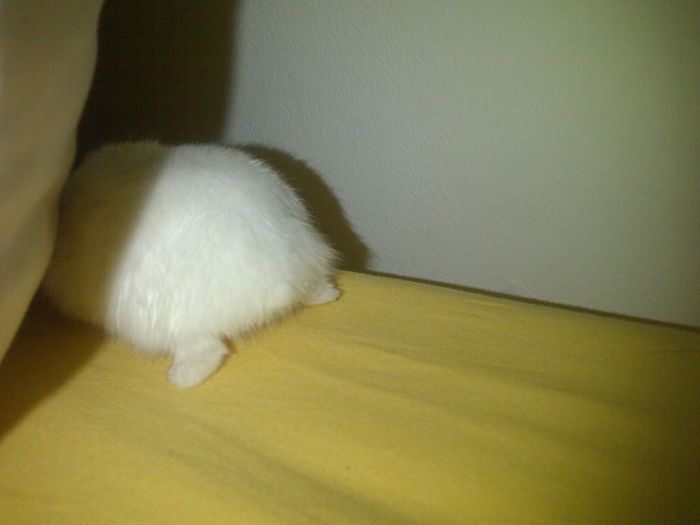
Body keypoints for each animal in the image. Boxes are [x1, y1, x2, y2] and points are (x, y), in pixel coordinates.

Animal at [43, 141, 340, 387]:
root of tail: (282, 274)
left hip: (168, 325)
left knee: (208, 351)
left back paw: (179, 379)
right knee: (315, 288)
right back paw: (329, 295)